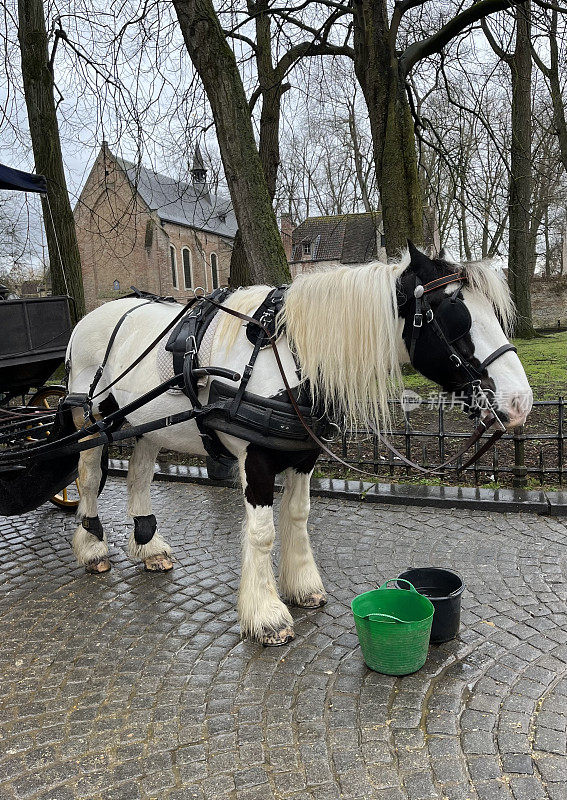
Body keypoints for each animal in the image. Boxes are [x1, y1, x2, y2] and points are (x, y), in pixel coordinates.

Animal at [66, 242, 532, 644]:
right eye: (455, 317)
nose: (520, 401)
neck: (290, 355)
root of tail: (94, 315)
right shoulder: (254, 459)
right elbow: (262, 533)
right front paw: (266, 615)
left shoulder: (303, 454)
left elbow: (297, 516)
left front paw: (302, 585)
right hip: (92, 419)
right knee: (88, 477)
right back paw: (92, 548)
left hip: (145, 424)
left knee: (139, 476)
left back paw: (147, 546)